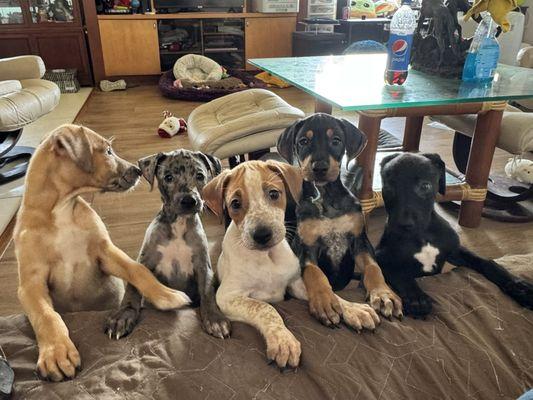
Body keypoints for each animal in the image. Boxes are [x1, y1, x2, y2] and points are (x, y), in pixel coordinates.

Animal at [14, 125, 191, 382]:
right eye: (107, 151)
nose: (138, 170)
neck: (62, 210)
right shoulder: (30, 284)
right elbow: (46, 315)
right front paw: (57, 353)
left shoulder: (104, 252)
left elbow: (137, 269)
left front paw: (166, 294)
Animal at [104, 148, 231, 340]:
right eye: (168, 177)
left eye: (200, 176)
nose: (189, 200)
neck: (178, 224)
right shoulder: (145, 261)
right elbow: (133, 289)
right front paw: (123, 316)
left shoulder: (203, 265)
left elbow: (207, 292)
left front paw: (214, 318)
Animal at [202, 159, 380, 368]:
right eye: (235, 203)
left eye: (273, 194)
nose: (262, 235)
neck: (267, 256)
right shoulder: (228, 296)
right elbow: (266, 308)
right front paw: (283, 340)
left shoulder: (295, 284)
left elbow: (329, 293)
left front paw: (353, 309)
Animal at [276, 112, 402, 324]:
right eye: (303, 142)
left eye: (336, 141)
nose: (319, 168)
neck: (325, 197)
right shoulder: (305, 247)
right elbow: (315, 272)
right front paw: (324, 301)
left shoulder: (360, 241)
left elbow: (373, 268)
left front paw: (384, 295)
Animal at [374, 152, 532, 318]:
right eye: (388, 187)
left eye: (425, 186)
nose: (402, 225)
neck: (422, 236)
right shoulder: (382, 257)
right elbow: (400, 273)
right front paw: (416, 297)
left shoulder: (455, 251)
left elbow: (487, 262)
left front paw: (521, 288)